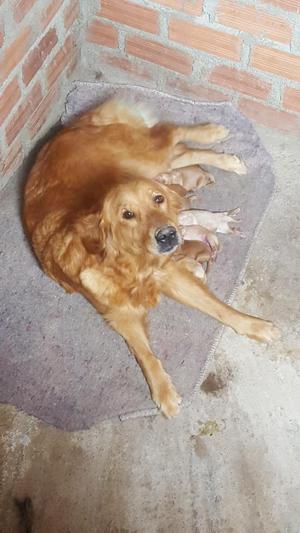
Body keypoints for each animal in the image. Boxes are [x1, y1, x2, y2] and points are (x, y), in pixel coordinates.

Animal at [23, 98, 282, 416]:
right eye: (127, 214)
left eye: (158, 199)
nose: (168, 235)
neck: (133, 266)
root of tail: (66, 129)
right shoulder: (120, 315)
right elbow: (144, 354)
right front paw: (163, 391)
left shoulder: (172, 274)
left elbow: (219, 308)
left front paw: (253, 325)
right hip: (150, 164)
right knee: (179, 150)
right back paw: (222, 154)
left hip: (147, 161)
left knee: (172, 136)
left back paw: (213, 133)